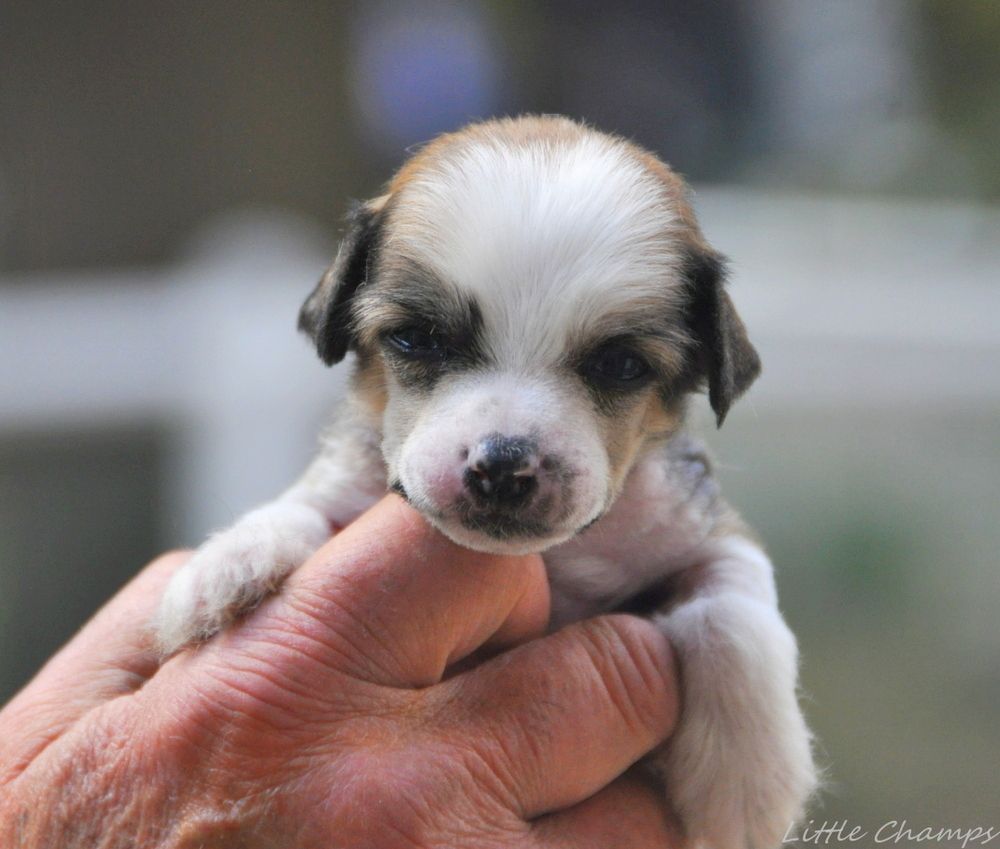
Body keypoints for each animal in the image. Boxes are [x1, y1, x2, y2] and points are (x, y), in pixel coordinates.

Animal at [156, 115, 817, 849]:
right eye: (417, 339)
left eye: (620, 364)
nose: (501, 466)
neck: (552, 560)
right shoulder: (350, 484)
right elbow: (307, 507)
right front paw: (229, 563)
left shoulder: (699, 525)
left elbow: (733, 611)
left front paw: (747, 783)